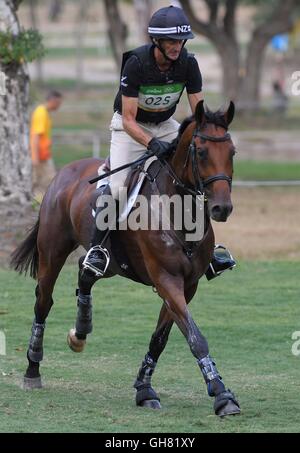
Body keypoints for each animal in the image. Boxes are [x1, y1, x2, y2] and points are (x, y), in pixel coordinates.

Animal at [11, 101, 241, 416]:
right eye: (202, 151)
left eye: (232, 152)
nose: (222, 208)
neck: (178, 210)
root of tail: (65, 172)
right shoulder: (167, 280)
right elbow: (196, 338)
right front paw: (221, 394)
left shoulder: (187, 285)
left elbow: (160, 338)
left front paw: (144, 389)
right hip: (52, 252)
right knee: (43, 301)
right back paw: (32, 368)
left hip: (110, 264)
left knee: (85, 274)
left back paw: (80, 332)